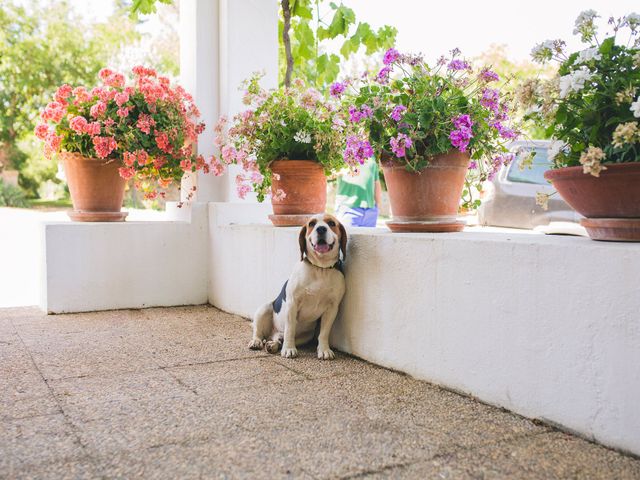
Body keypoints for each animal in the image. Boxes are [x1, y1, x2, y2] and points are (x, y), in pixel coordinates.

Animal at [250, 215, 350, 360]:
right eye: (311, 224)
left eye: (331, 223)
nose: (321, 229)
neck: (320, 268)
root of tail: (272, 333)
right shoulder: (292, 303)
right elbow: (290, 330)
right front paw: (289, 349)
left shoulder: (332, 308)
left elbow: (324, 333)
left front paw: (324, 350)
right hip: (264, 309)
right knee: (258, 331)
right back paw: (256, 341)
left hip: (305, 336)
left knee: (278, 339)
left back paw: (273, 345)